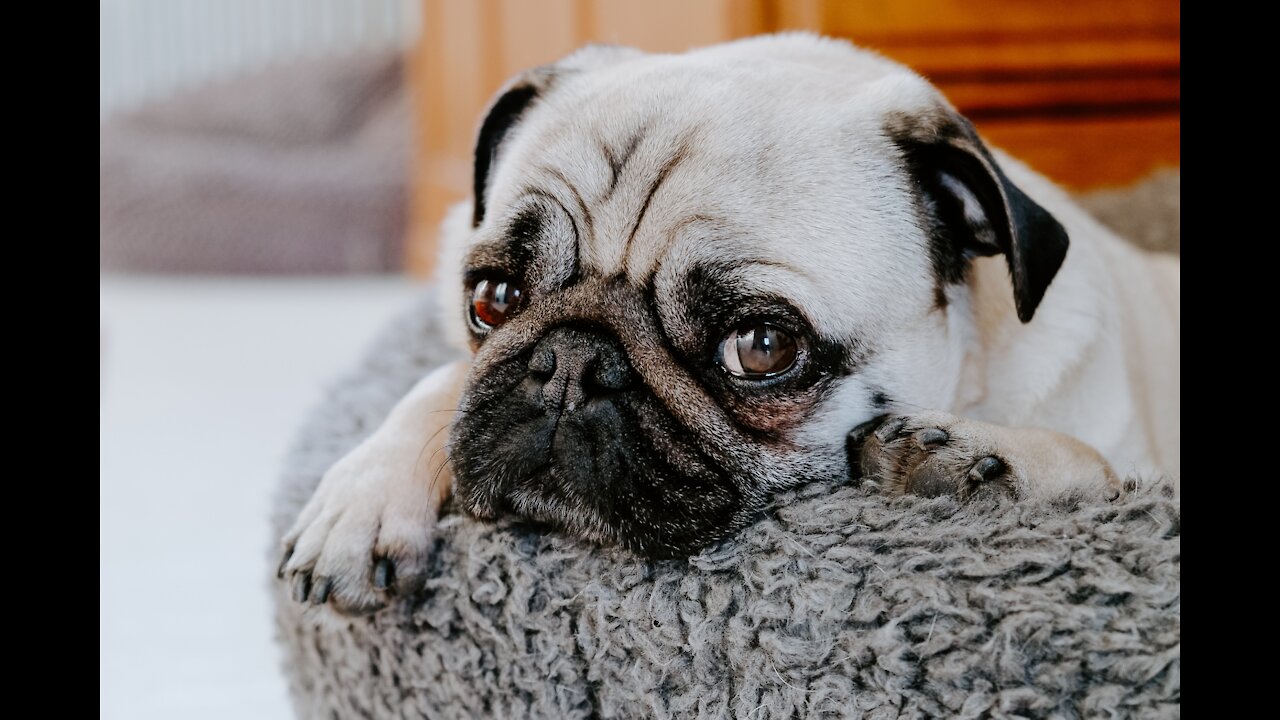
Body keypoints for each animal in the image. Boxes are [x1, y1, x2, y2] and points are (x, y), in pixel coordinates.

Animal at [277, 33, 1177, 614]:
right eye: (493, 298)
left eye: (762, 347)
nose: (571, 362)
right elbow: (444, 383)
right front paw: (363, 497)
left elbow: (1098, 466)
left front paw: (980, 457)